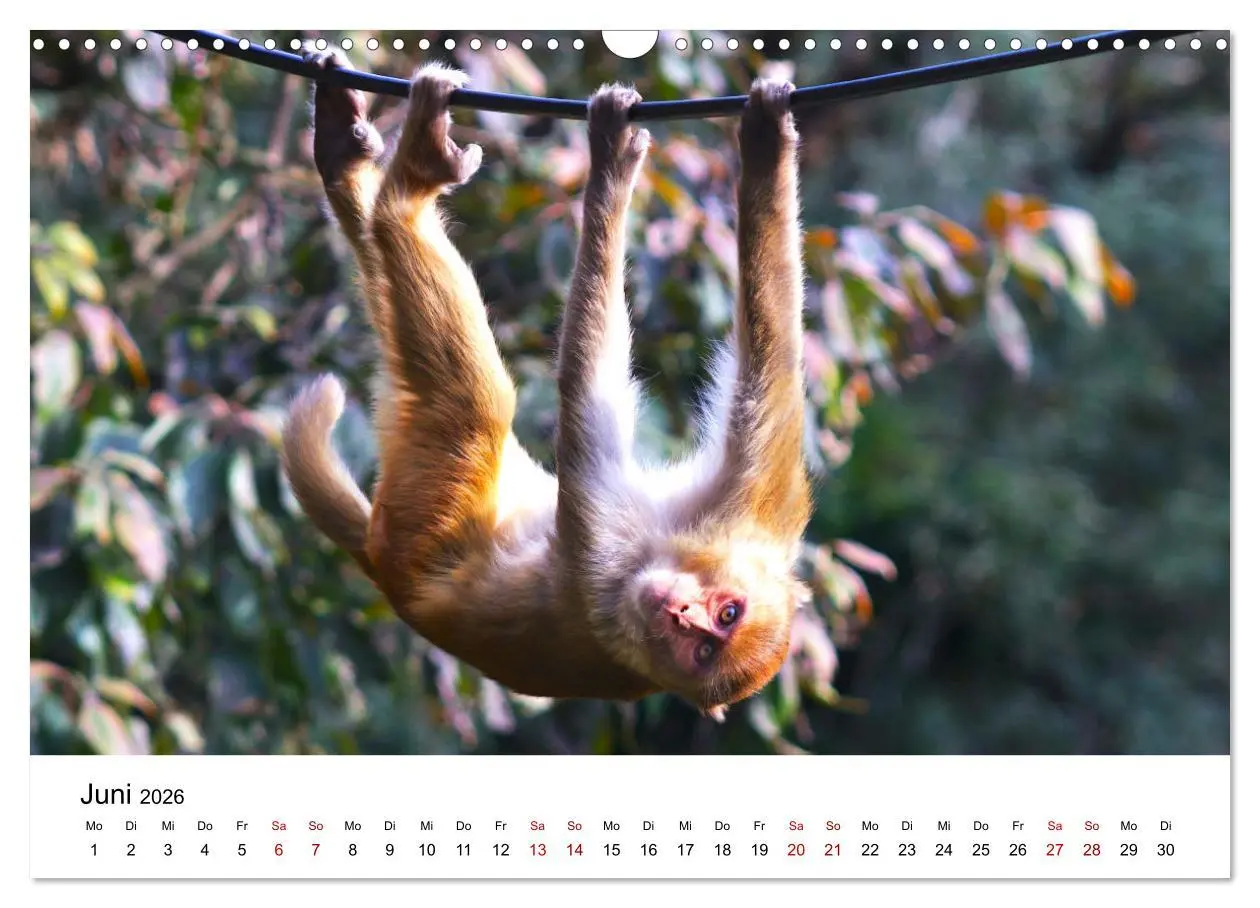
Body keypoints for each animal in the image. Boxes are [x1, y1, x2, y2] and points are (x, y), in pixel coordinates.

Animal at [282, 51, 812, 718]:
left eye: (706, 647)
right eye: (726, 614)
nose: (681, 613)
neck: (650, 559)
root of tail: (379, 569)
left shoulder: (605, 574)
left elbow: (586, 401)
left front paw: (611, 164)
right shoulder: (755, 510)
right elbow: (772, 363)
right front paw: (768, 145)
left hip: (414, 518)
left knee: (474, 402)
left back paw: (409, 186)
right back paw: (345, 156)